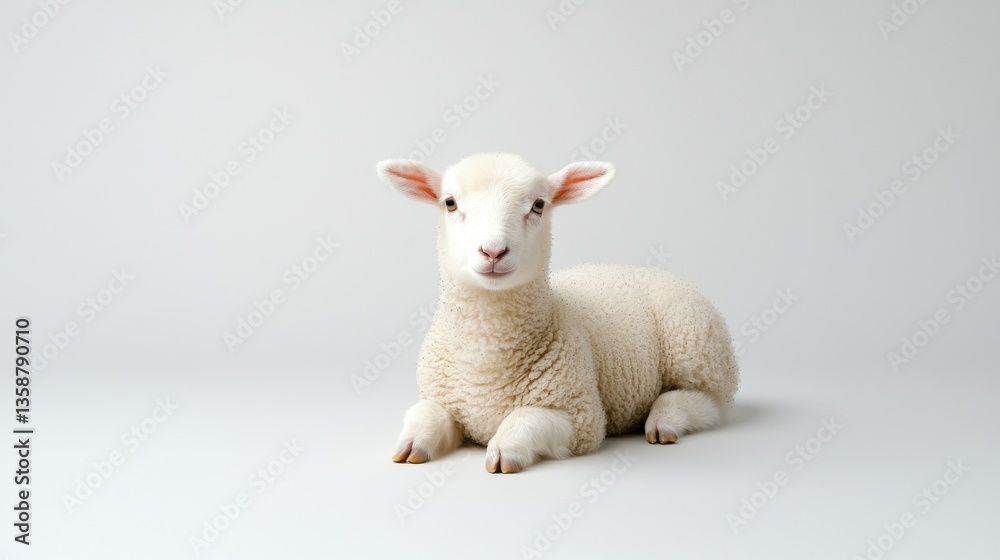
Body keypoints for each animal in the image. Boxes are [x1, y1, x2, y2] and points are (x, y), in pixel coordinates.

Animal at [375, 153, 739, 473]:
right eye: (449, 203)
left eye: (538, 205)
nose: (493, 251)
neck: (485, 367)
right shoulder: (440, 396)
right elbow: (425, 413)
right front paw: (411, 445)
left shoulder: (581, 416)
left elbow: (525, 419)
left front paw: (505, 451)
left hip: (698, 353)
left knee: (709, 404)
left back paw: (664, 421)